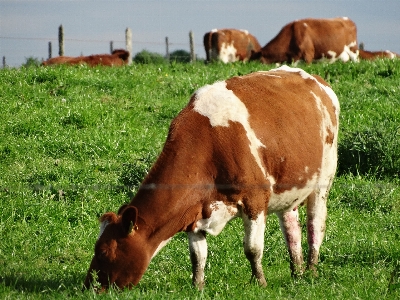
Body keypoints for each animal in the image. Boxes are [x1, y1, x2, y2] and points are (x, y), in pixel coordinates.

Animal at [83, 65, 340, 290]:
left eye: (103, 251)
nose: (88, 287)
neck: (207, 147)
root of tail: (317, 80)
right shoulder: (194, 212)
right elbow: (198, 256)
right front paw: (197, 287)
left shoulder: (255, 200)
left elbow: (252, 249)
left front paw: (259, 282)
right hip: (290, 187)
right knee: (291, 228)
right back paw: (297, 271)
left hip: (323, 180)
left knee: (316, 224)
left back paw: (312, 270)